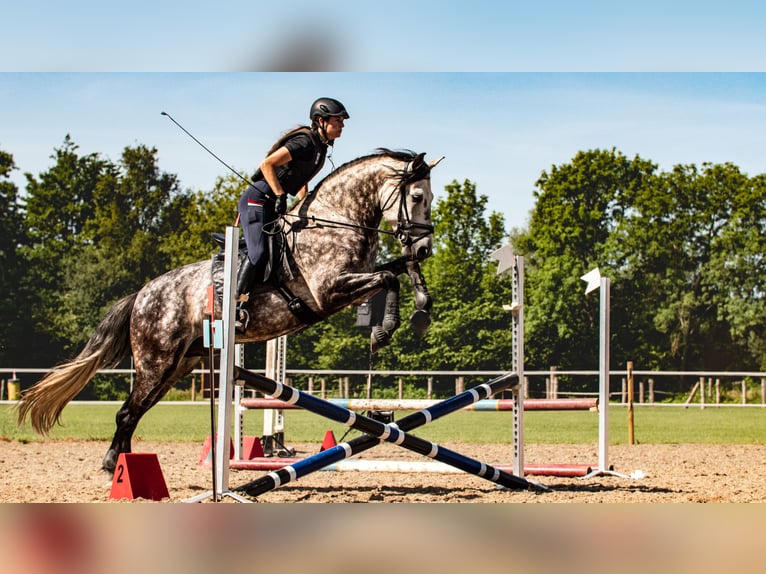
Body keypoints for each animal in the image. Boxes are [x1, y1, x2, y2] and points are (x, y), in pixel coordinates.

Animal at [17, 148, 440, 473]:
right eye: (418, 197)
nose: (425, 248)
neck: (334, 222)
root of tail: (142, 294)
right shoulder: (329, 290)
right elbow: (388, 279)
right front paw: (385, 329)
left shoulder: (354, 280)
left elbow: (399, 270)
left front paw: (421, 309)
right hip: (156, 362)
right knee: (127, 412)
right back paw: (114, 467)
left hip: (178, 366)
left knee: (135, 412)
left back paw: (125, 463)